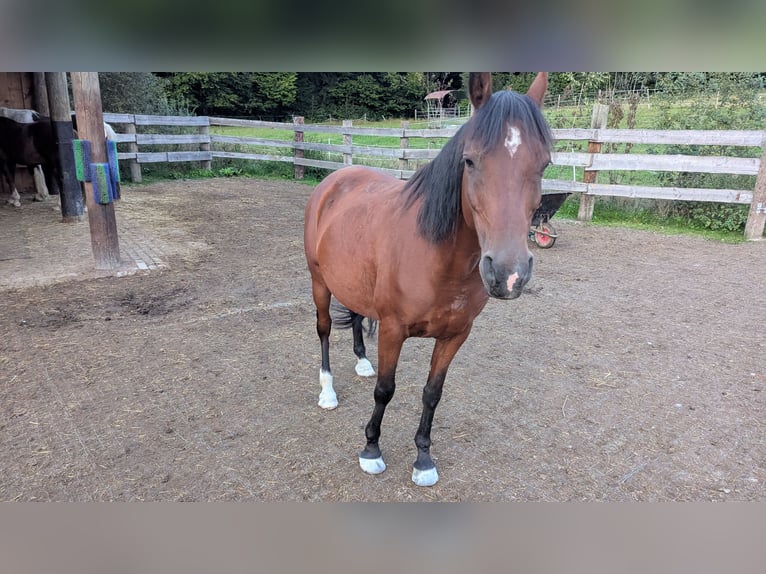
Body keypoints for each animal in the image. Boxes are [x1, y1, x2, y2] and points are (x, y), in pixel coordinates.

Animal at [304, 72, 553, 486]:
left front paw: (423, 458)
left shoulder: (455, 335)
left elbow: (432, 392)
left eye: (545, 164)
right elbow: (385, 390)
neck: (438, 260)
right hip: (319, 283)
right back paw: (327, 392)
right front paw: (371, 449)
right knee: (323, 330)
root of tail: (337, 178)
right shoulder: (393, 330)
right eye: (470, 160)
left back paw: (361, 361)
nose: (509, 273)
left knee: (356, 315)